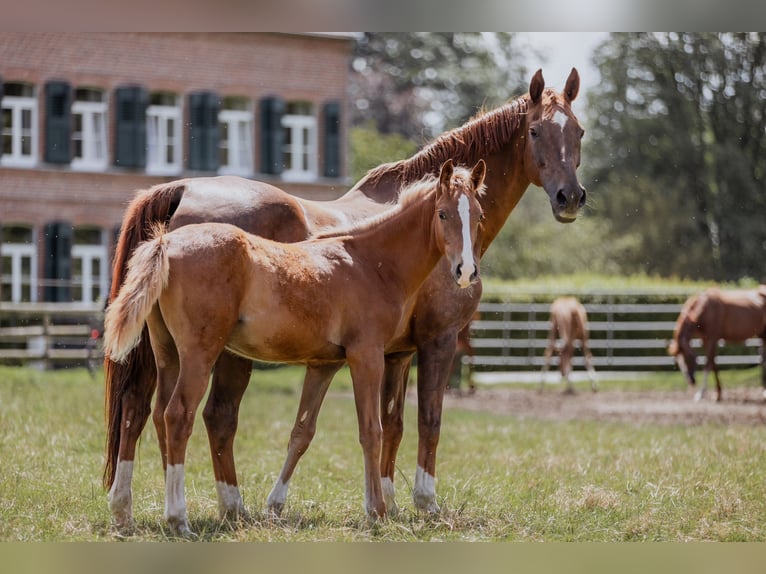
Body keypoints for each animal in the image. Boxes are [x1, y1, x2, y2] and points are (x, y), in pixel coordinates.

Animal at [103, 160, 486, 536]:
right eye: (442, 214)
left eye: (479, 215)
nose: (466, 271)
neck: (370, 262)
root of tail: (165, 243)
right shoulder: (368, 355)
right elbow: (371, 430)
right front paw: (377, 511)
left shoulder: (323, 364)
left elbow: (302, 431)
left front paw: (276, 506)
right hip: (199, 354)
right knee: (178, 415)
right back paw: (178, 518)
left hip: (166, 352)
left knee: (154, 412)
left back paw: (126, 511)